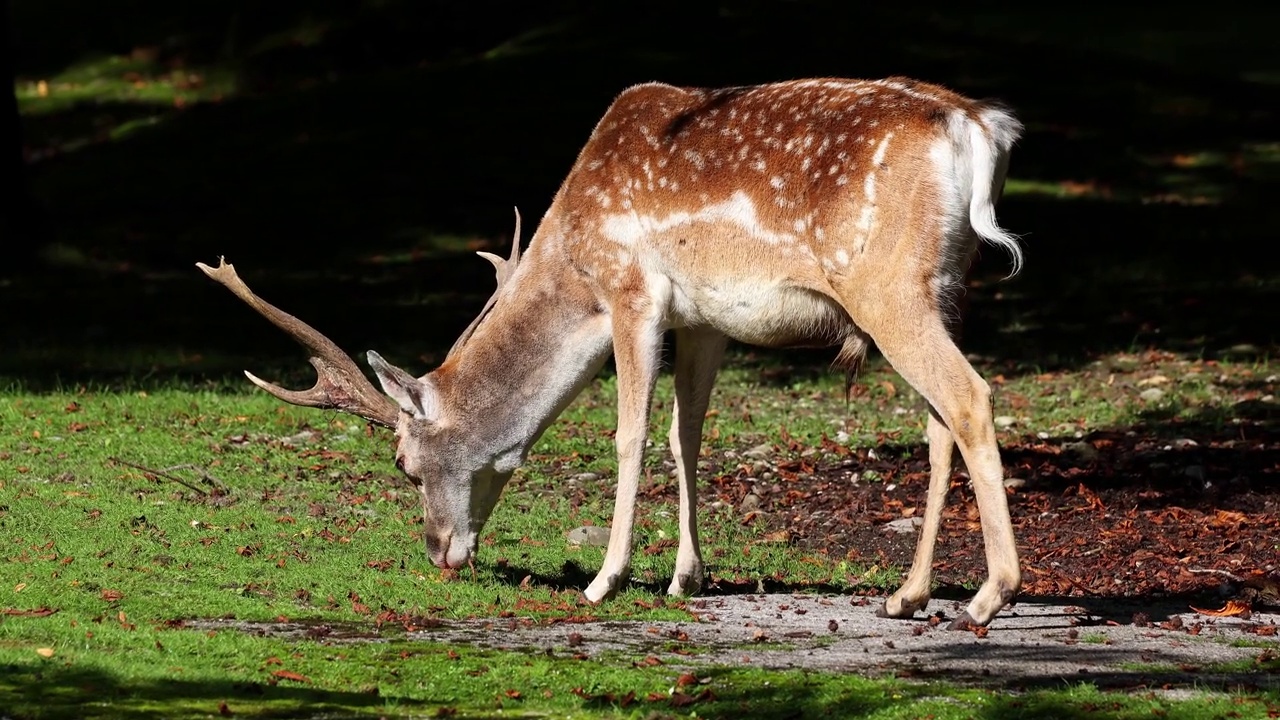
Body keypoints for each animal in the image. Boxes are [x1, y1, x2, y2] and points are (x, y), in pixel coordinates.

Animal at [197, 74, 1018, 627]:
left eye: (404, 465)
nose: (438, 552)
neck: (572, 255)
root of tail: (980, 131)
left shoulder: (632, 291)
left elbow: (630, 435)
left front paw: (606, 579)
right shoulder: (705, 320)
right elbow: (688, 436)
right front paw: (688, 577)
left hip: (885, 285)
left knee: (971, 397)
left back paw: (987, 597)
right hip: (948, 285)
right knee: (938, 423)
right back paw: (907, 595)